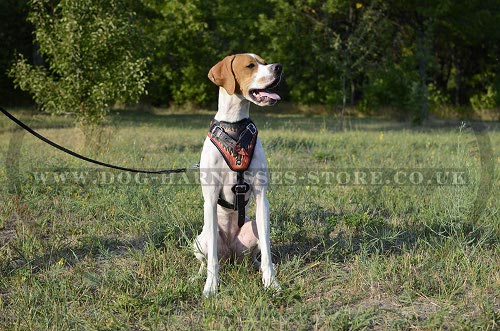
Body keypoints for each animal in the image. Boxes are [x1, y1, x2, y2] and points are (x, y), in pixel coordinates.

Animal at [194, 53, 284, 298]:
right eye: (250, 65)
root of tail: (232, 255)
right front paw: (211, 286)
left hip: (253, 228)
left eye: (264, 62)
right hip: (201, 239)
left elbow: (268, 254)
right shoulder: (210, 198)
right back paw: (198, 275)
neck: (235, 125)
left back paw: (256, 266)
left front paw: (271, 282)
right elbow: (212, 261)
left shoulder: (262, 197)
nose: (279, 67)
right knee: (206, 259)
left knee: (256, 255)